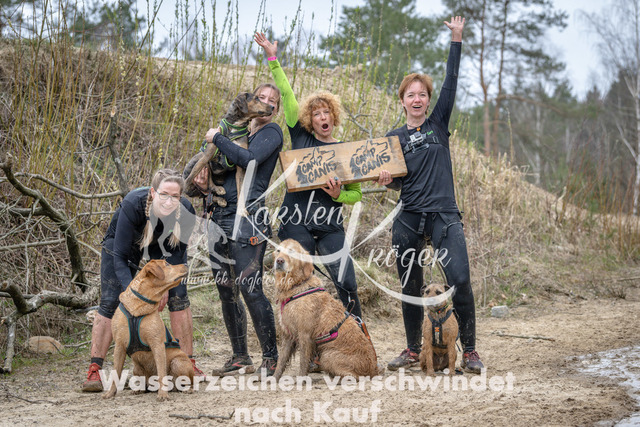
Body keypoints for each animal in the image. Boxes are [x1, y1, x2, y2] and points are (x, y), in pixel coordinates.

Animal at [103, 260, 193, 401]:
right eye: (167, 264)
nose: (186, 264)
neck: (139, 306)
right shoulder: (119, 346)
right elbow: (115, 373)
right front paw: (110, 393)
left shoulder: (157, 344)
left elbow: (161, 372)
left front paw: (163, 394)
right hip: (136, 369)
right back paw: (139, 389)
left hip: (178, 362)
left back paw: (186, 389)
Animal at [272, 239, 382, 380]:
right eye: (278, 251)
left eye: (292, 252)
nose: (279, 261)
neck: (296, 285)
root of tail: (373, 369)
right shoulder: (287, 335)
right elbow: (281, 361)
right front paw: (273, 378)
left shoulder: (305, 335)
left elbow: (303, 362)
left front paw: (301, 379)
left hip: (327, 355)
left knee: (353, 376)